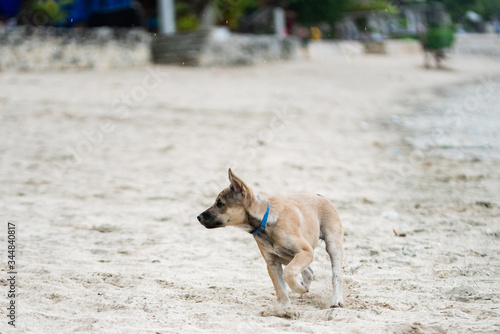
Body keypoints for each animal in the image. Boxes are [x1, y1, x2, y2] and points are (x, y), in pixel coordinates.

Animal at [195, 170, 344, 308]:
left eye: (220, 204)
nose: (198, 217)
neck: (265, 222)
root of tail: (320, 196)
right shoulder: (272, 262)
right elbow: (280, 288)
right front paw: (284, 309)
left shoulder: (305, 251)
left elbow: (288, 274)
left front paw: (299, 289)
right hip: (289, 257)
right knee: (308, 272)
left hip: (332, 246)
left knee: (335, 276)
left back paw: (335, 300)